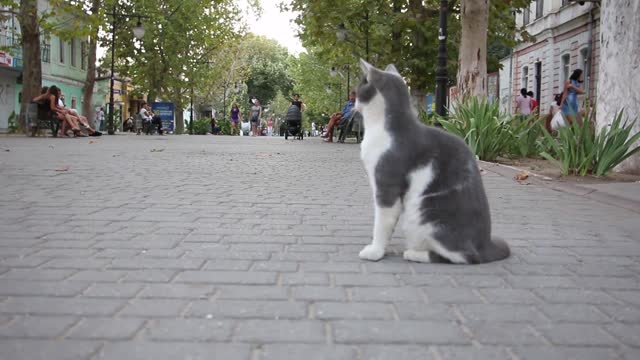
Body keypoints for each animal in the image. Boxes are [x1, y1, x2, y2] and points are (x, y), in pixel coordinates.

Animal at [356, 59, 510, 264]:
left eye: (358, 88)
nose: (353, 101)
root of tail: (485, 245)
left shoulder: (386, 186)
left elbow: (382, 223)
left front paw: (375, 251)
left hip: (422, 216)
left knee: (464, 256)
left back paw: (414, 254)